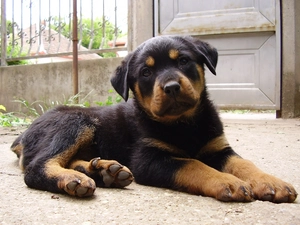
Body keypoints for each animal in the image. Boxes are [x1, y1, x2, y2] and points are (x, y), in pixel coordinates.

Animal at [10, 35, 296, 202]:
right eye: (146, 73)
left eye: (183, 61)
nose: (171, 87)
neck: (184, 124)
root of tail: (22, 135)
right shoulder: (149, 159)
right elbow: (192, 165)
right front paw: (228, 181)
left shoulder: (219, 148)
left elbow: (245, 164)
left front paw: (272, 183)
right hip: (75, 123)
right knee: (37, 166)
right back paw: (76, 179)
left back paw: (103, 171)